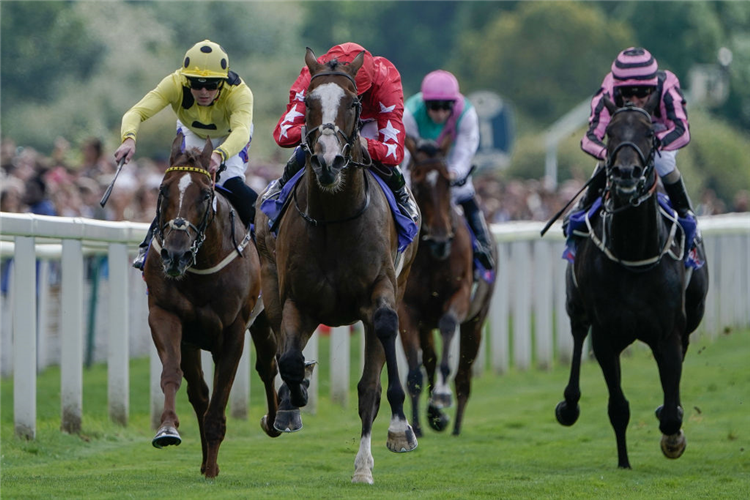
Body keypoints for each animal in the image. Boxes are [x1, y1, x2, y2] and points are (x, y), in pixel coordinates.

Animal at [142, 133, 280, 476]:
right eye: (163, 190)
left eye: (205, 195)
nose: (175, 254)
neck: (201, 262)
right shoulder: (167, 316)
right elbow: (174, 375)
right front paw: (167, 429)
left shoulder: (233, 331)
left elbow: (220, 398)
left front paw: (213, 465)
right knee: (199, 393)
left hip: (262, 319)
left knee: (268, 365)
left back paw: (275, 422)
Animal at [258, 47, 424, 484]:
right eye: (307, 102)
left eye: (354, 103)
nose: (328, 161)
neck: (333, 217)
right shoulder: (297, 301)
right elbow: (289, 360)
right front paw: (293, 396)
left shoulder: (380, 292)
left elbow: (373, 377)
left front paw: (397, 433)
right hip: (273, 284)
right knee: (282, 346)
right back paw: (288, 404)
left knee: (370, 380)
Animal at [400, 135, 500, 436]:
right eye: (418, 182)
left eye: (447, 181)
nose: (441, 240)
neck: (433, 258)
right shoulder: (408, 310)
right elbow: (415, 372)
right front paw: (417, 425)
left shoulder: (460, 296)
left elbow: (447, 329)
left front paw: (442, 398)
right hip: (425, 325)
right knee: (430, 361)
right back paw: (435, 415)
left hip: (476, 321)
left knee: (464, 375)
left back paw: (454, 424)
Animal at [560, 95, 712, 470]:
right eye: (610, 133)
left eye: (649, 133)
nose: (625, 173)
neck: (632, 253)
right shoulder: (605, 336)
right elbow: (618, 407)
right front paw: (624, 462)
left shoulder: (669, 333)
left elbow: (671, 411)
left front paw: (672, 437)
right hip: (575, 306)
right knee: (577, 335)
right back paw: (568, 405)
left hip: (692, 315)